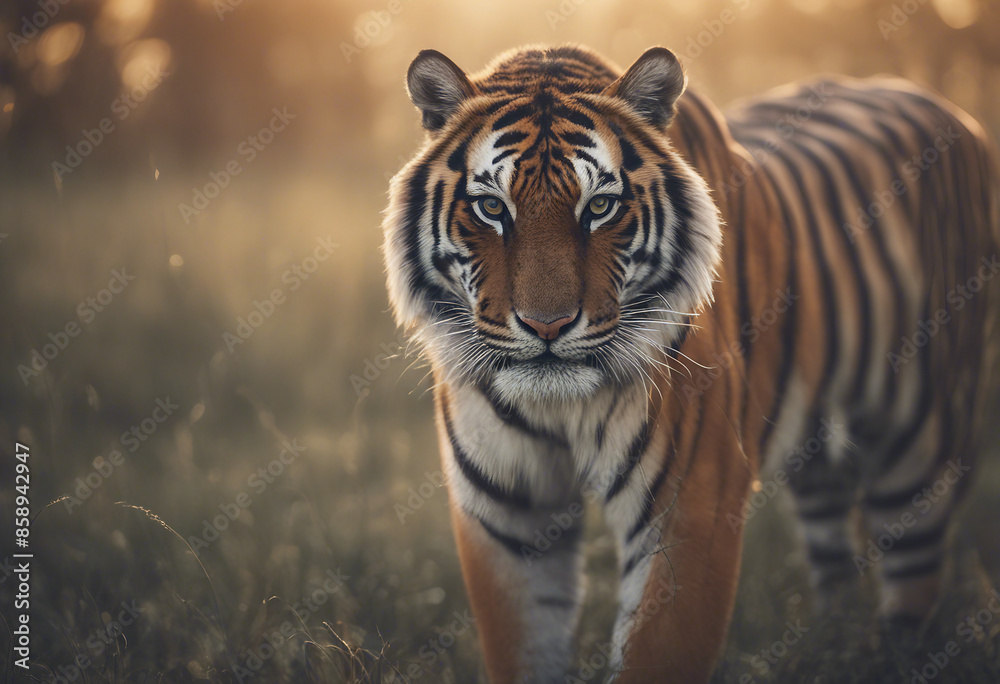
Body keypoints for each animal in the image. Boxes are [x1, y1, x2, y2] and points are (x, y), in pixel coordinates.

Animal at [382, 43, 1000, 683]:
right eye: (490, 207)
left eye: (600, 206)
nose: (547, 325)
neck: (560, 409)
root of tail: (950, 110)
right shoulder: (506, 519)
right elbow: (523, 650)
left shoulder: (691, 506)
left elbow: (658, 651)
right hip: (819, 465)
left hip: (922, 452)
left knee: (912, 590)